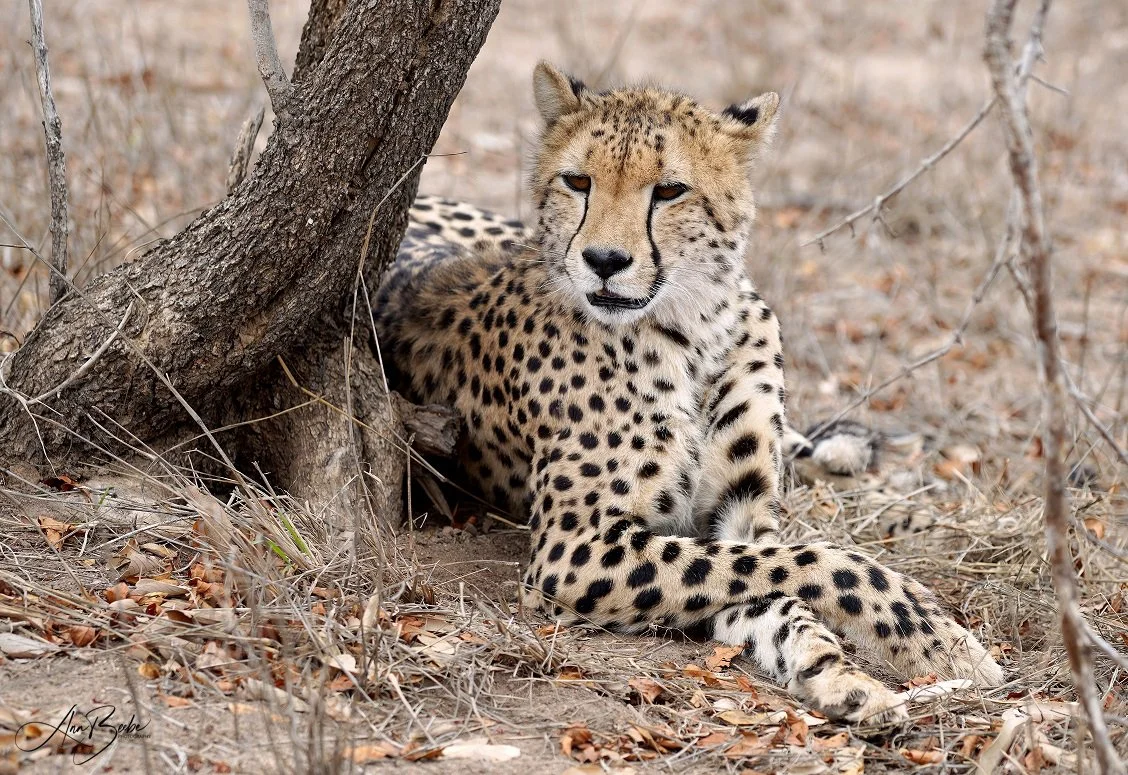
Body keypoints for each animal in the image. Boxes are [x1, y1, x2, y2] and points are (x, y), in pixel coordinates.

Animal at [374, 61, 1003, 723]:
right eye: (578, 181)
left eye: (670, 191)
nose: (603, 259)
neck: (695, 327)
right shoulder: (574, 549)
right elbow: (815, 564)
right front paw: (927, 646)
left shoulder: (739, 517)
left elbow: (785, 577)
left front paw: (852, 669)